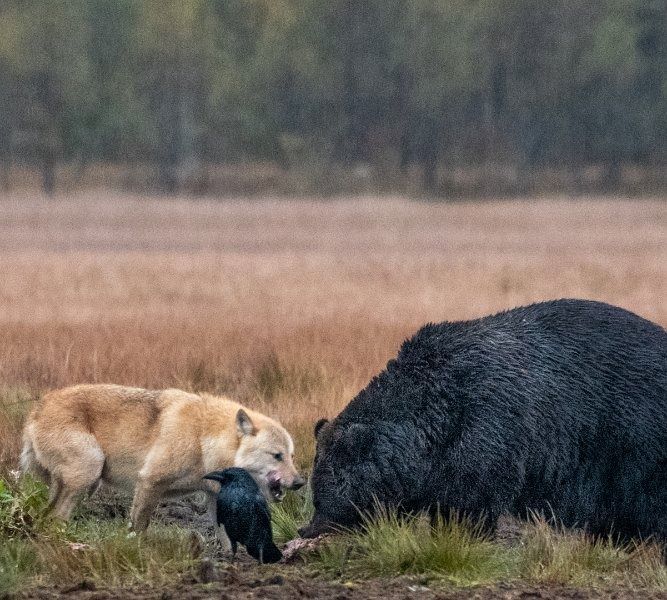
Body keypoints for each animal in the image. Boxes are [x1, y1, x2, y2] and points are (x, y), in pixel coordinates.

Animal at [20, 386, 302, 536]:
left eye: (291, 456)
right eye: (276, 456)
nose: (299, 483)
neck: (203, 439)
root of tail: (37, 409)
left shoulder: (214, 498)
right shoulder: (149, 481)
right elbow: (138, 527)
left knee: (47, 517)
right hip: (89, 472)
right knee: (55, 518)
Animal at [300, 300, 664, 544]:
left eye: (328, 490)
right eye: (315, 491)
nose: (307, 528)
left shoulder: (489, 428)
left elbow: (471, 501)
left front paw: (463, 536)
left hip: (634, 440)